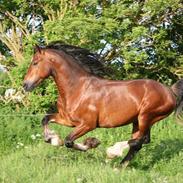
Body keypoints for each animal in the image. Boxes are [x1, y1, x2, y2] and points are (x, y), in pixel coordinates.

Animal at [23, 42, 183, 167]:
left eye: (35, 63)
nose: (25, 85)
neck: (77, 88)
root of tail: (170, 91)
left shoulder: (88, 124)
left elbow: (68, 141)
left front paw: (92, 142)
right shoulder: (67, 119)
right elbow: (45, 119)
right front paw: (53, 139)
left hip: (147, 116)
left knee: (139, 141)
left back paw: (112, 153)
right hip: (137, 121)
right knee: (140, 142)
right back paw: (119, 167)